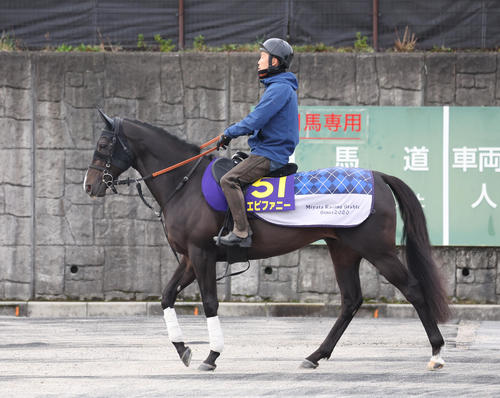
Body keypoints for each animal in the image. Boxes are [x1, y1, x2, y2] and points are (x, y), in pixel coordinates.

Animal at [84, 110, 452, 372]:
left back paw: (436, 351)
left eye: (102, 145)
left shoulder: (201, 254)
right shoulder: (189, 258)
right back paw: (315, 355)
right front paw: (183, 348)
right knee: (351, 300)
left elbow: (210, 304)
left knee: (412, 289)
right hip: (344, 250)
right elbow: (165, 297)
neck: (184, 184)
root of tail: (379, 176)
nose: (90, 185)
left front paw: (211, 355)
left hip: (377, 249)